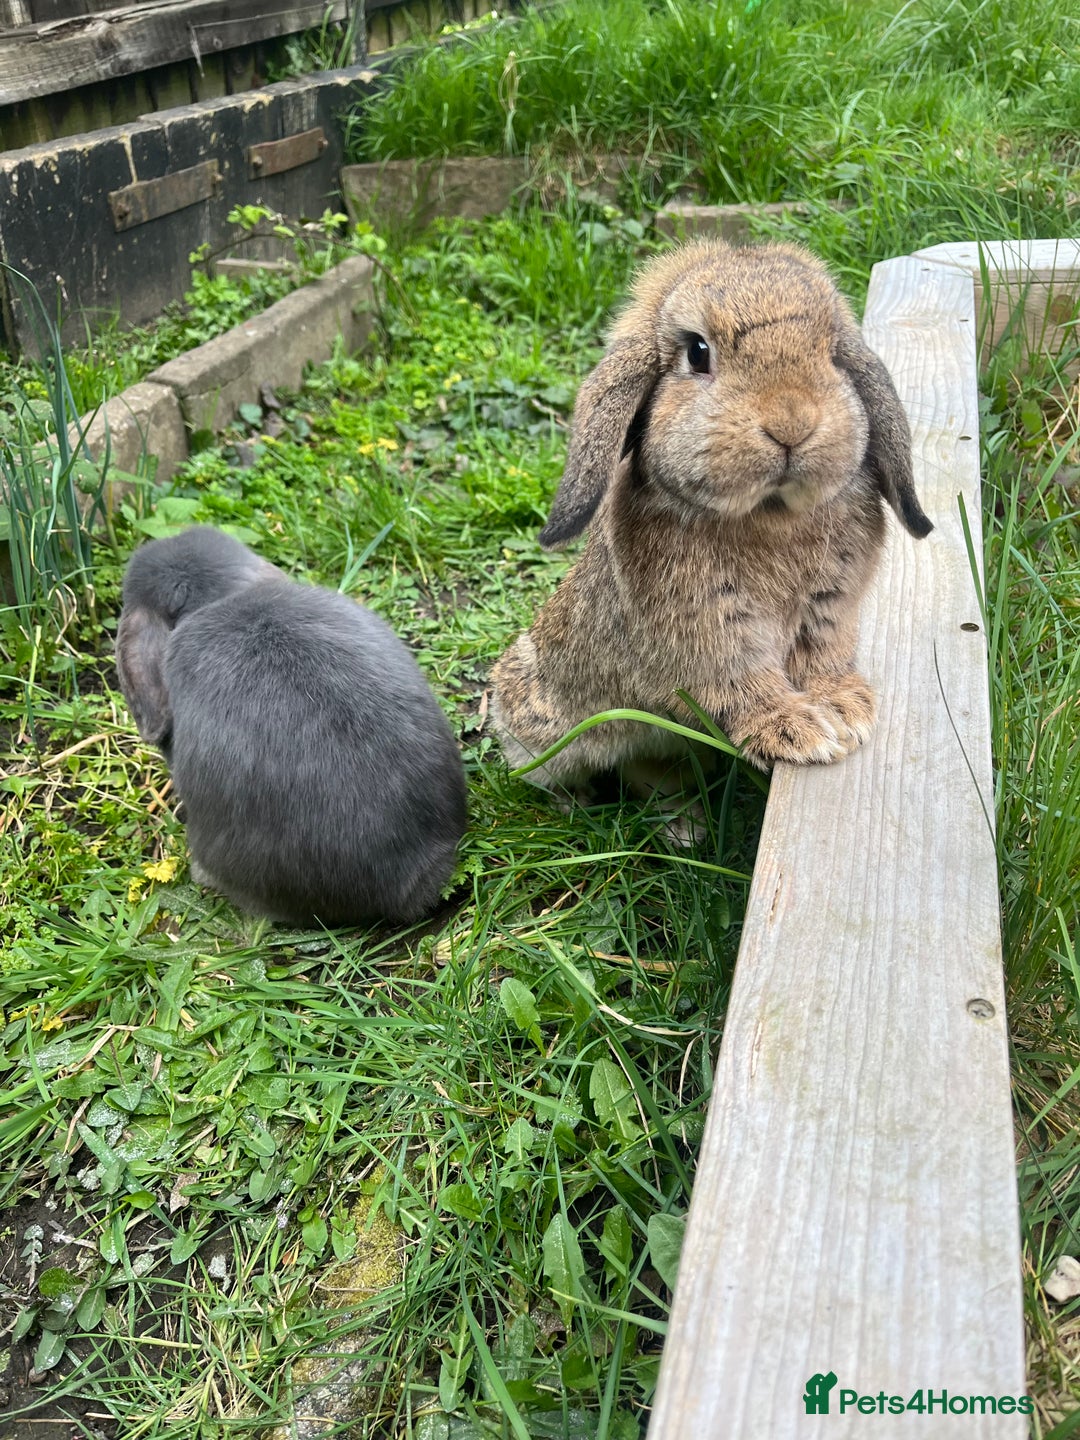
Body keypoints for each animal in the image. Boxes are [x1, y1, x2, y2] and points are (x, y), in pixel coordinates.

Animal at [490, 239, 932, 790]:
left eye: (833, 354)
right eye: (698, 352)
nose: (791, 423)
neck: (769, 513)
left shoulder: (830, 606)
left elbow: (822, 655)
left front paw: (844, 710)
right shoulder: (706, 625)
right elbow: (739, 680)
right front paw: (796, 732)